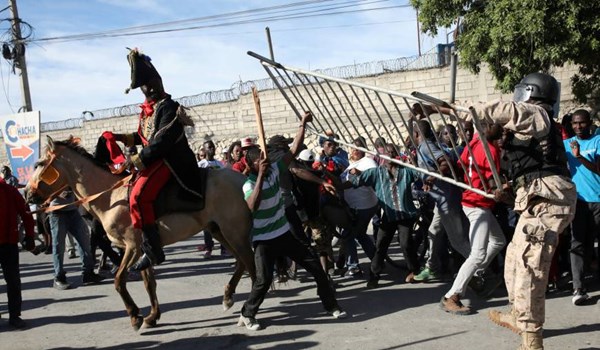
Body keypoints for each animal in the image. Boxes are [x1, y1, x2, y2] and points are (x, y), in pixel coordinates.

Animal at [26, 136, 255, 330]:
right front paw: (152, 317)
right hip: (219, 231)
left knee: (251, 264)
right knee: (242, 262)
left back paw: (249, 309)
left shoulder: (132, 247)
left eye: (39, 164)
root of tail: (242, 178)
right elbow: (148, 283)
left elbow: (119, 280)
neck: (111, 197)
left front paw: (135, 316)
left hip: (233, 231)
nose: (28, 194)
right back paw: (228, 297)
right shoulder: (144, 250)